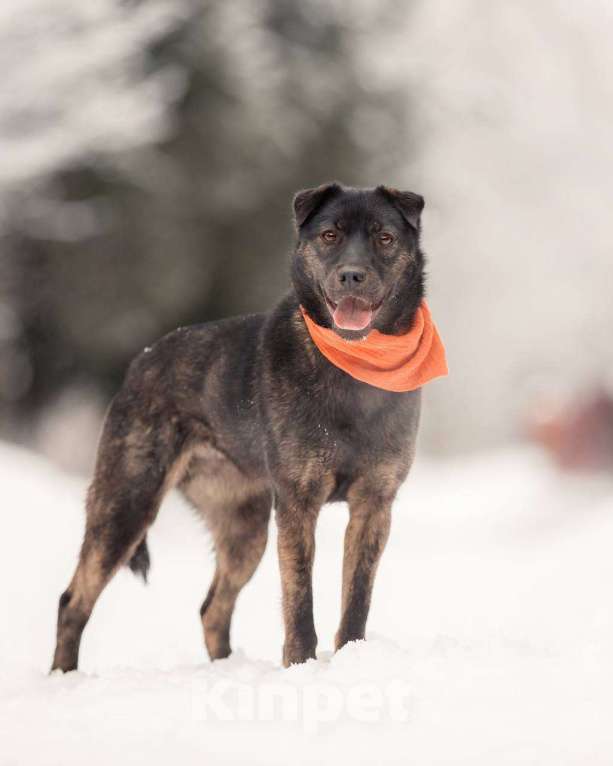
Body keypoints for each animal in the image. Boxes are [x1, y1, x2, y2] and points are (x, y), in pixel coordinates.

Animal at [49, 182, 440, 672]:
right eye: (329, 235)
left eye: (384, 238)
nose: (352, 275)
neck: (351, 368)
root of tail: (141, 362)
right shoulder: (297, 504)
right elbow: (299, 599)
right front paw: (300, 665)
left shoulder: (374, 505)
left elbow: (357, 597)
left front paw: (352, 657)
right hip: (126, 505)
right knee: (74, 600)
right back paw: (64, 677)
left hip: (244, 531)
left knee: (212, 608)